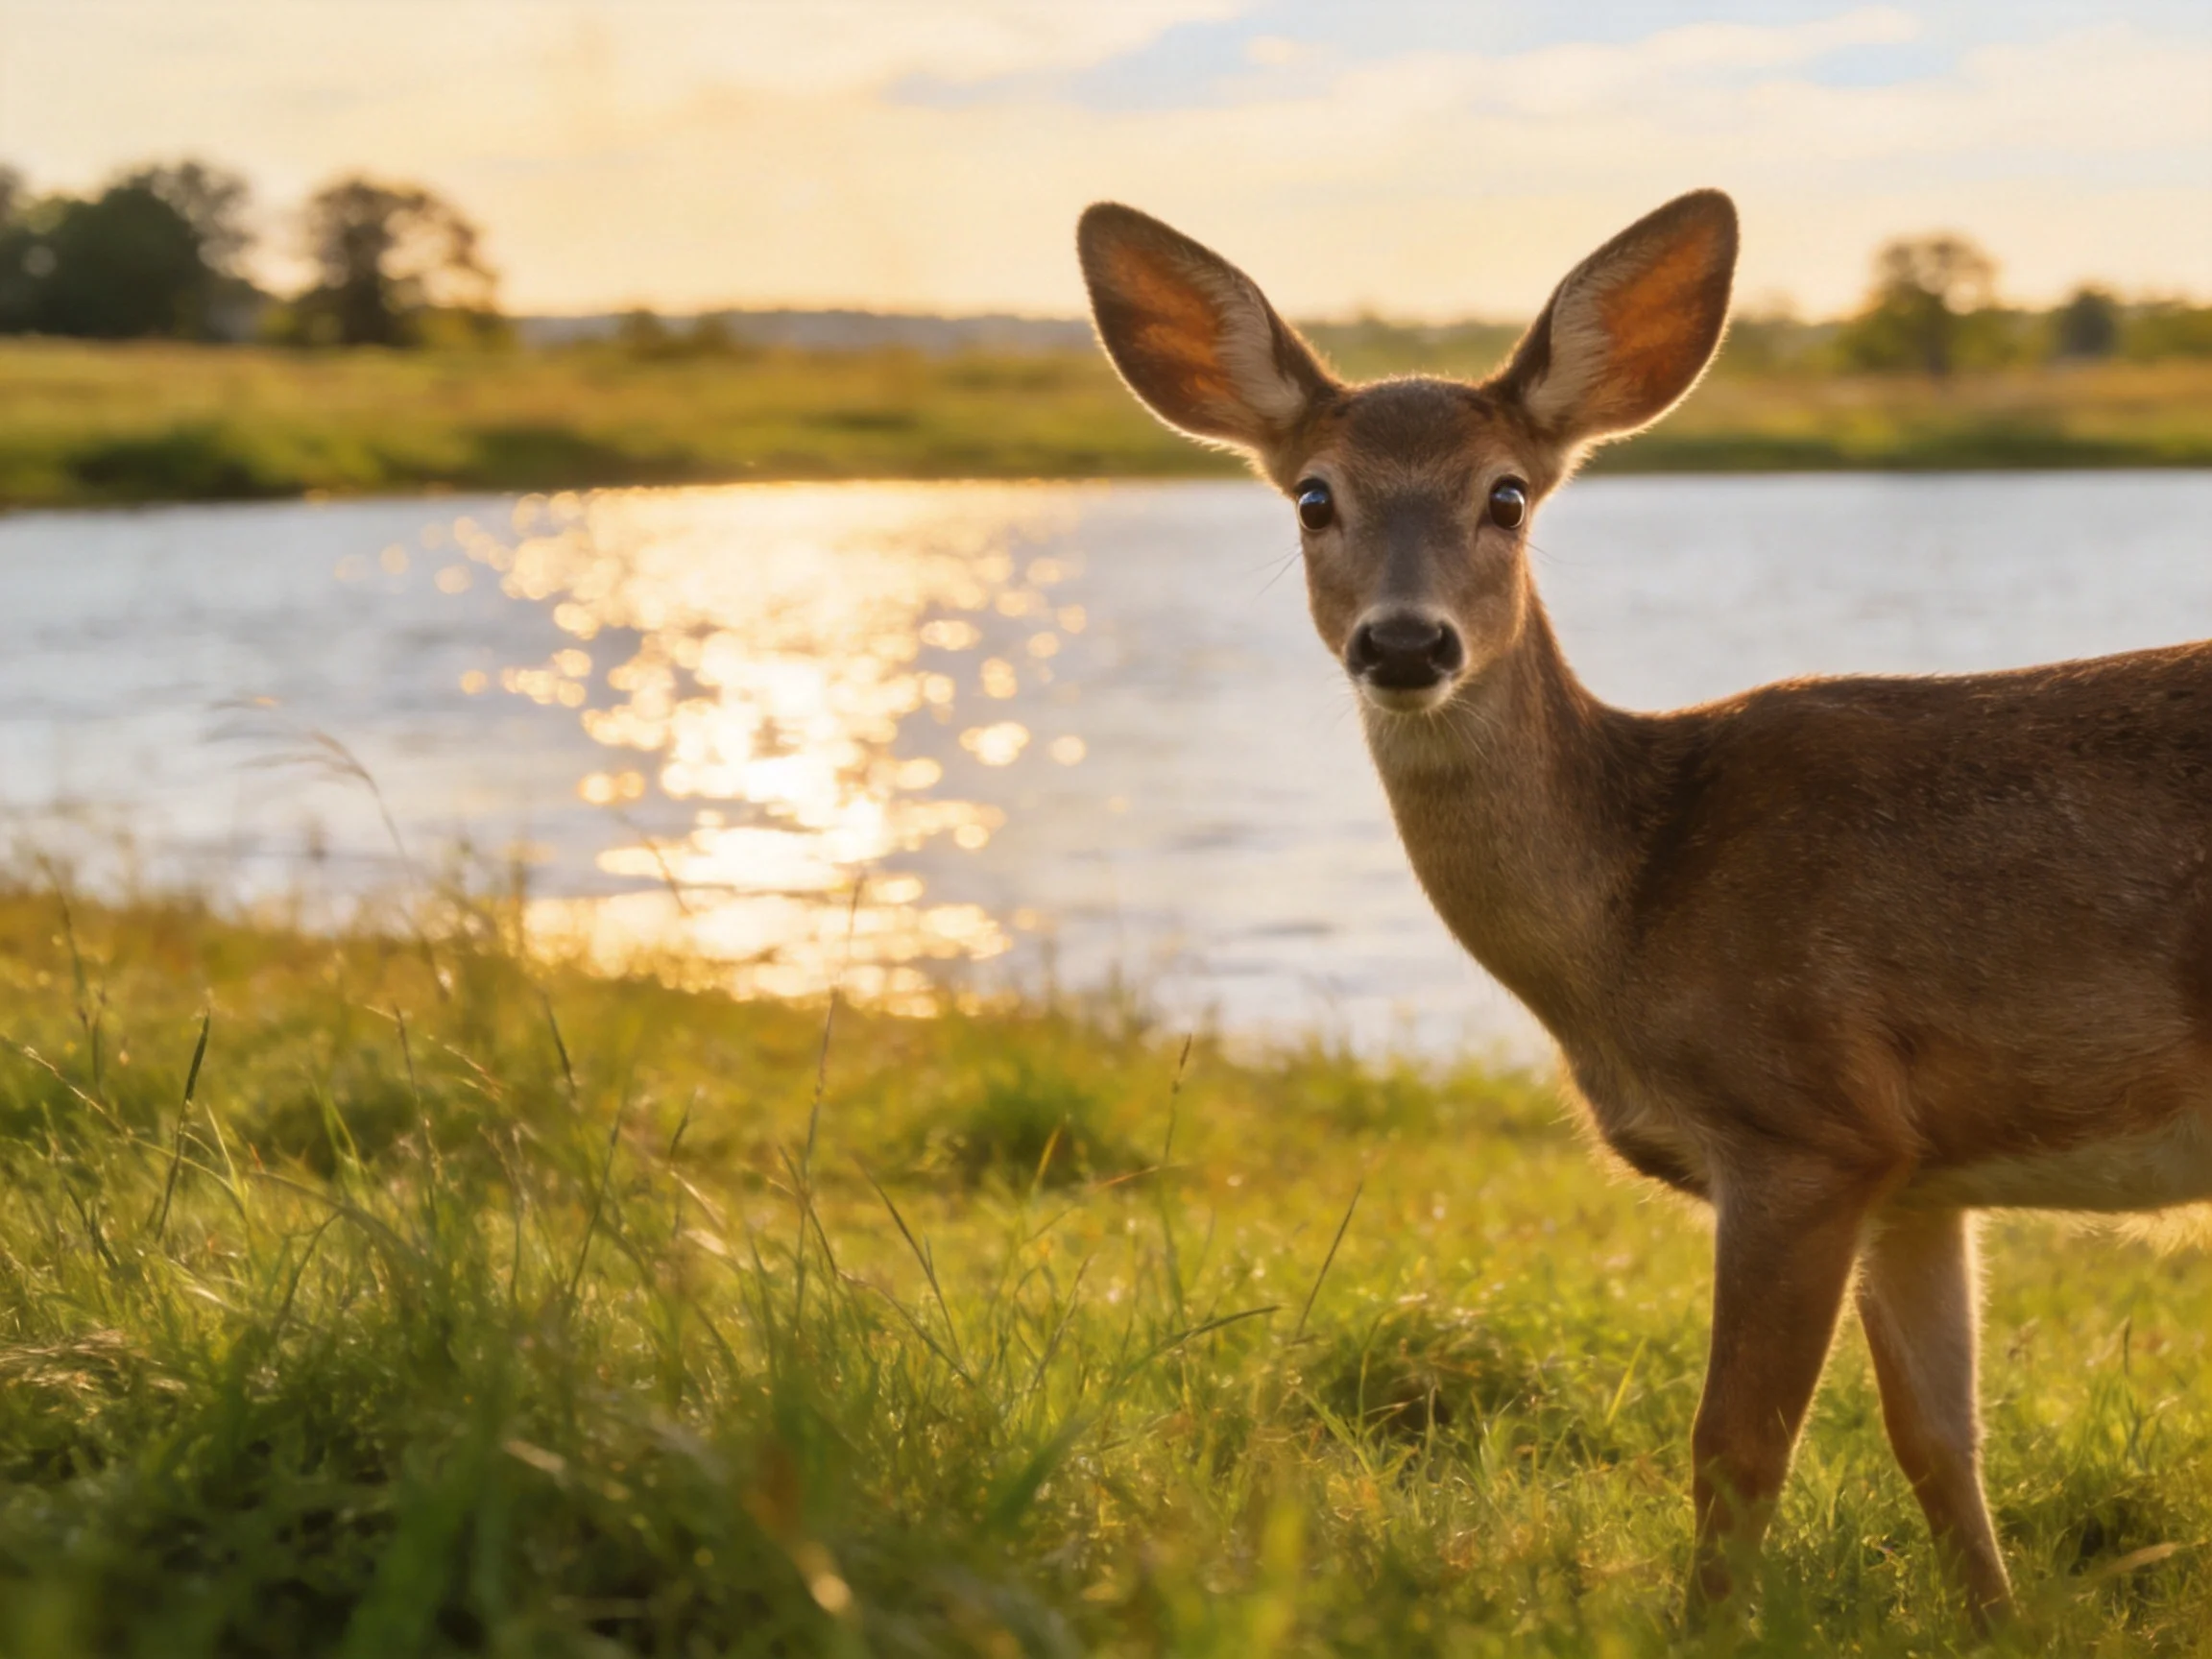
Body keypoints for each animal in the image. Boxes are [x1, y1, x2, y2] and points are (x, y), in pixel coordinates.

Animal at [1076, 187, 2212, 1626]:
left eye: (1507, 494)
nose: (1407, 642)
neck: (1637, 903)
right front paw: (1999, 1626)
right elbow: (1940, 1439)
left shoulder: (1805, 1121)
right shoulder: (1916, 1171)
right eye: (1313, 497)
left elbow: (1736, 1448)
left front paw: (1706, 1627)